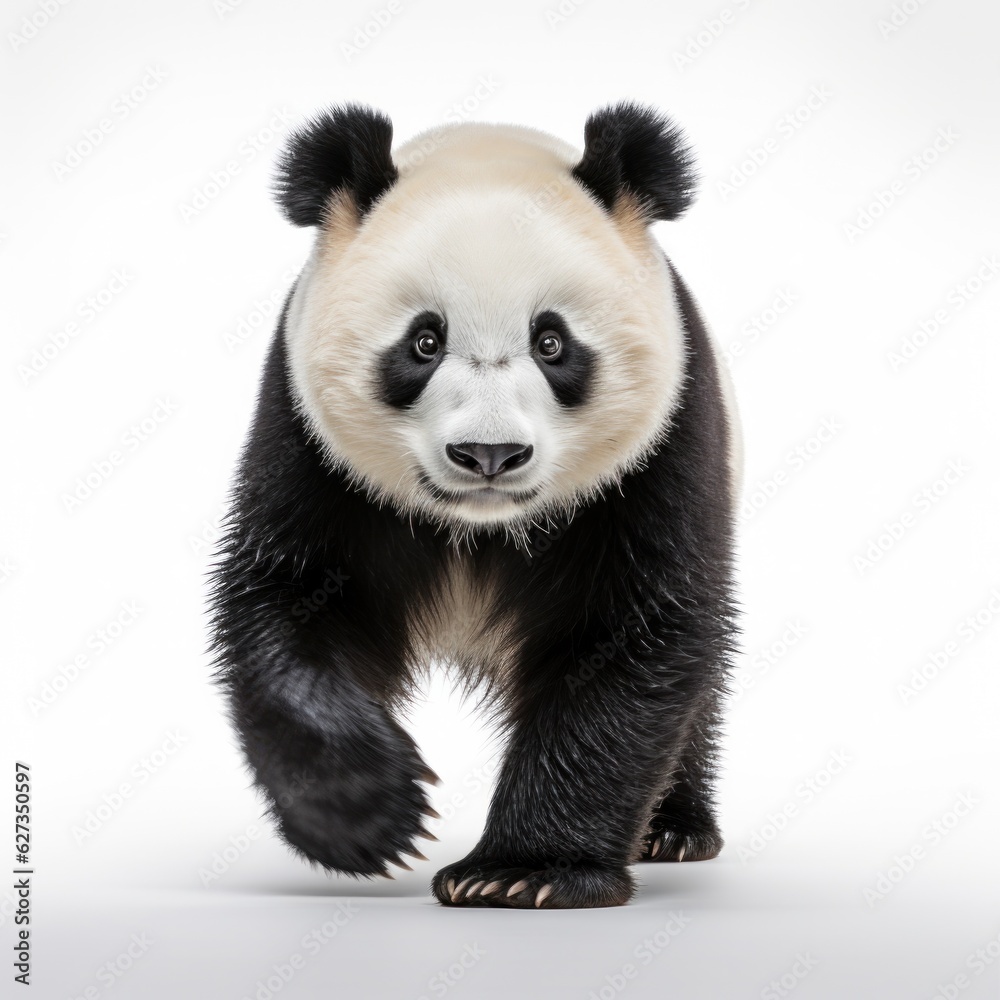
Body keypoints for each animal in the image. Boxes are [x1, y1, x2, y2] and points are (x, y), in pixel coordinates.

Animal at [210, 101, 742, 909]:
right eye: (424, 342)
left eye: (552, 342)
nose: (488, 455)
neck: (480, 528)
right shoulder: (307, 444)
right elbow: (287, 601)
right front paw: (368, 816)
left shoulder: (662, 449)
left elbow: (632, 635)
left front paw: (522, 871)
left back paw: (674, 830)